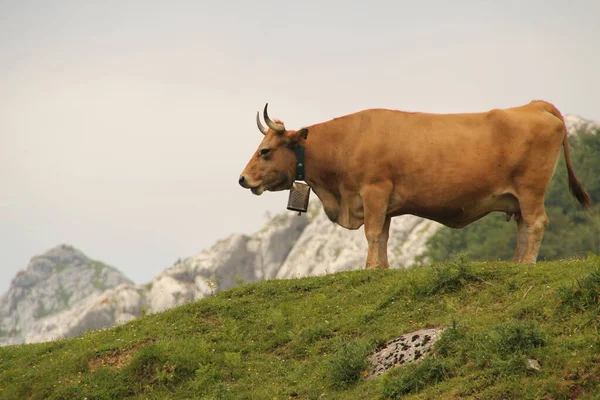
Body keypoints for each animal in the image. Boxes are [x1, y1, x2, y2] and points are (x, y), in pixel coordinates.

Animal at [238, 101, 592, 268]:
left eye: (265, 151)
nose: (243, 179)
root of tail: (533, 105)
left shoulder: (374, 191)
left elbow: (372, 233)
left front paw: (369, 268)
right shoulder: (383, 203)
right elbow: (382, 236)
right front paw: (381, 268)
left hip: (531, 190)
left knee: (536, 223)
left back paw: (527, 263)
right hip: (517, 198)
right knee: (523, 227)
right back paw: (517, 263)